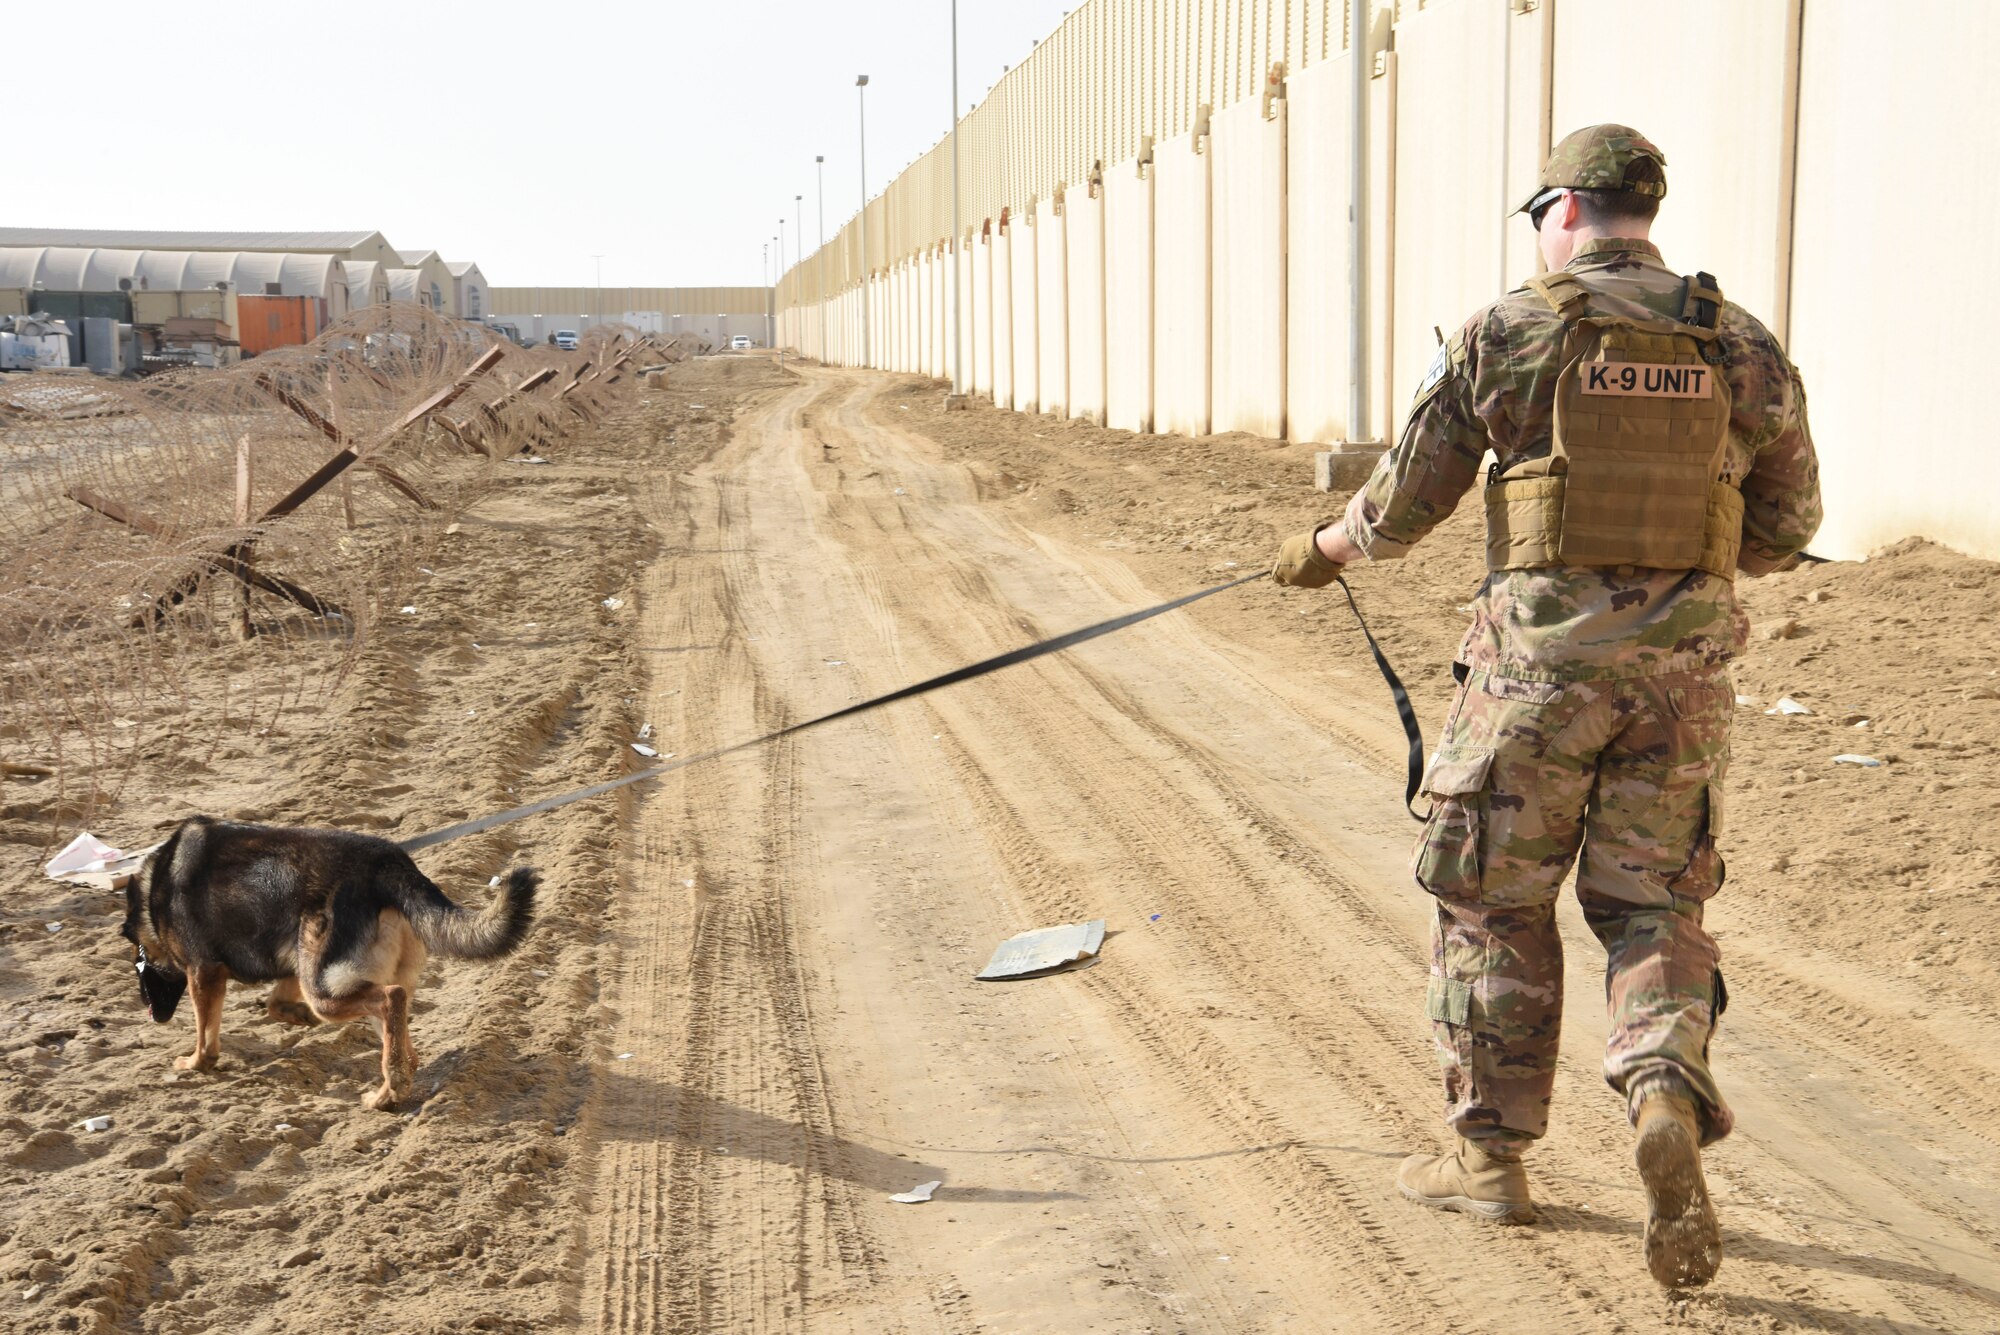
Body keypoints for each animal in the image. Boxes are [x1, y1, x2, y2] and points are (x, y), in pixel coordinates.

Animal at [121, 819, 536, 1111]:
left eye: (139, 958)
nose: (150, 1010)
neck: (155, 886)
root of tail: (387, 862)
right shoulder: (292, 961)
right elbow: (274, 1004)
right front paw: (297, 1017)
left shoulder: (203, 972)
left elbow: (205, 1036)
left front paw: (195, 1063)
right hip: (337, 978)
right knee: (400, 1033)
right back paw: (388, 1089)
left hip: (325, 990)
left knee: (391, 999)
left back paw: (389, 1094)